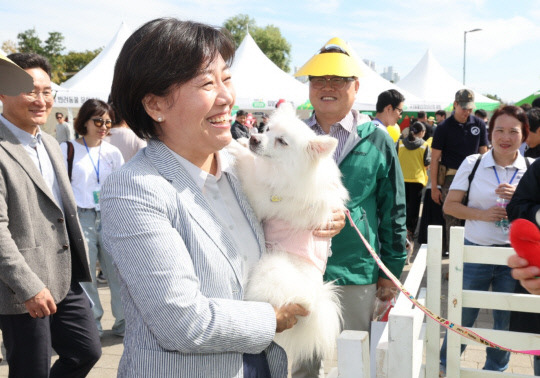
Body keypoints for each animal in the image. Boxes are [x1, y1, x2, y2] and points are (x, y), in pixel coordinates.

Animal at [226, 105, 348, 364]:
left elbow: (249, 166)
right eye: (266, 130)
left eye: (282, 142)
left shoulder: (263, 194)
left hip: (270, 267)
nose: (254, 138)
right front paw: (240, 142)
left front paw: (233, 147)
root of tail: (314, 301)